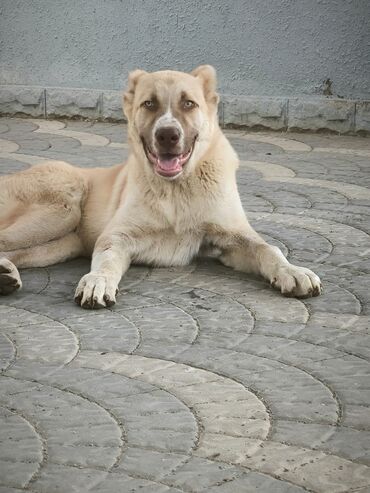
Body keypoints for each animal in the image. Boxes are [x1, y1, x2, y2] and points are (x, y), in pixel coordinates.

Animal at [0, 63, 320, 306]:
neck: (177, 188)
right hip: (61, 210)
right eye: (149, 104)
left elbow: (269, 248)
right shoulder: (116, 236)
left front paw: (292, 272)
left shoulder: (233, 237)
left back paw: (5, 275)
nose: (167, 135)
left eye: (189, 103)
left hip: (61, 244)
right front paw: (98, 281)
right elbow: (107, 261)